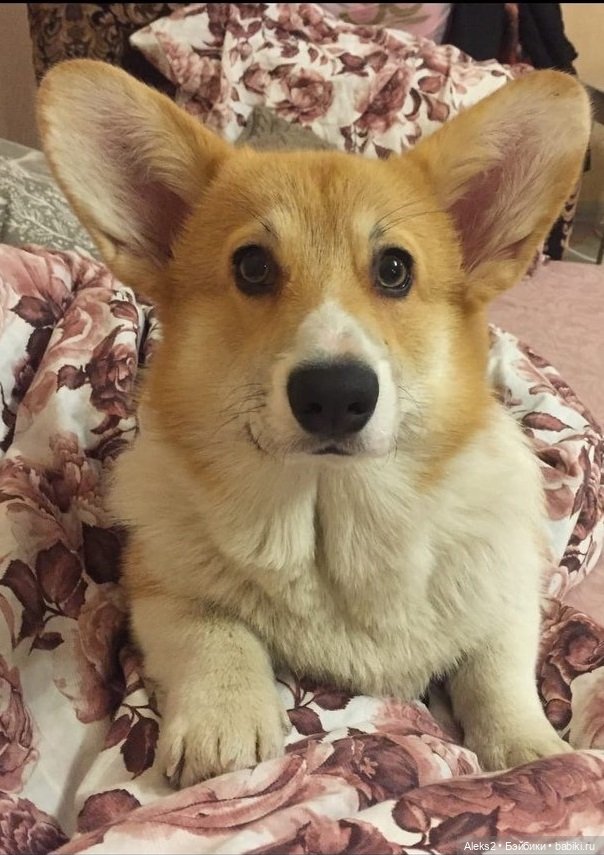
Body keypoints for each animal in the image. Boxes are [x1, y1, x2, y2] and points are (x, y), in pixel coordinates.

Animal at [38, 60, 590, 788]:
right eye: (252, 266)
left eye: (394, 269)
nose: (334, 395)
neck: (334, 515)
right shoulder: (159, 586)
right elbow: (213, 629)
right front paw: (223, 723)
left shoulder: (507, 597)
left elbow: (498, 674)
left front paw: (531, 752)